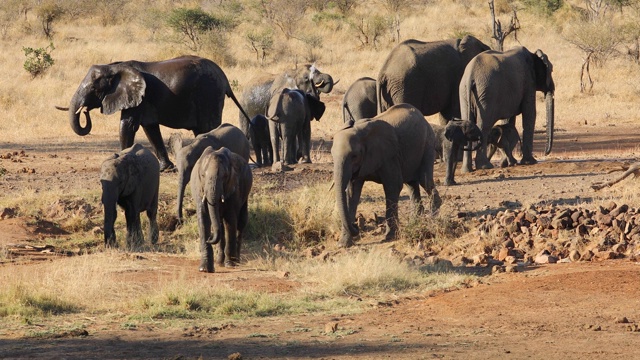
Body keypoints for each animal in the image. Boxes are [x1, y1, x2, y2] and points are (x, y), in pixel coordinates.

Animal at [57, 55, 251, 171]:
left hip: (209, 94)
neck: (115, 67)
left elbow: (128, 125)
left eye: (93, 88)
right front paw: (167, 169)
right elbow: (150, 129)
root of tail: (225, 78)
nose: (85, 110)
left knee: (209, 127)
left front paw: (119, 159)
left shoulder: (138, 97)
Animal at [330, 103, 440, 248]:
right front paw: (343, 244)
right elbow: (352, 193)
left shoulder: (389, 155)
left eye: (354, 156)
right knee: (411, 184)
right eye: (332, 155)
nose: (356, 226)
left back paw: (433, 216)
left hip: (428, 143)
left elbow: (393, 186)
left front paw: (390, 237)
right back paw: (415, 222)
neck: (361, 133)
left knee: (424, 179)